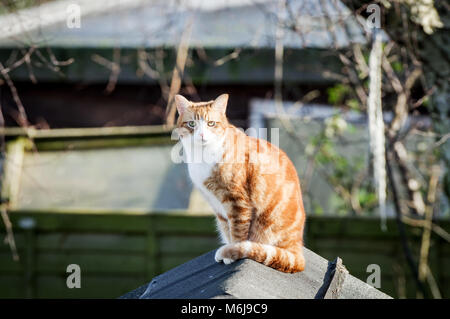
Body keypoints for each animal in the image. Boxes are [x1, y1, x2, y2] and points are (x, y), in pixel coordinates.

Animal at [175, 94, 306, 274]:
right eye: (191, 124)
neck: (202, 156)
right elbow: (227, 229)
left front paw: (232, 252)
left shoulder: (237, 201)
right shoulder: (219, 209)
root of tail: (297, 246)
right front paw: (229, 248)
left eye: (211, 123)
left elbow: (237, 232)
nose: (201, 135)